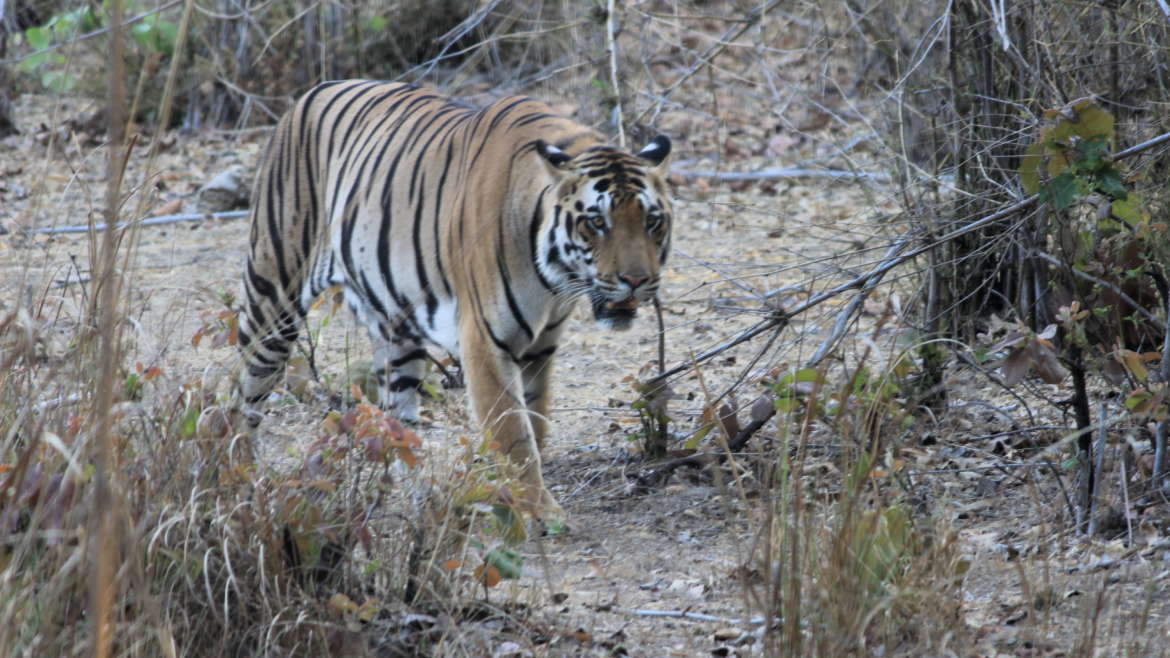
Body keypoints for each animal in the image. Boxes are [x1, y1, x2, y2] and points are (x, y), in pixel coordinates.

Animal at [232, 79, 673, 519]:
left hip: (397, 332)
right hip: (273, 299)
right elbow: (514, 434)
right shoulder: (486, 343)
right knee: (244, 398)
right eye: (597, 222)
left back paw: (424, 501)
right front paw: (540, 512)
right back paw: (238, 481)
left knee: (400, 418)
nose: (636, 280)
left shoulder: (541, 348)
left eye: (652, 221)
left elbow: (537, 420)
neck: (556, 279)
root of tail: (314, 90)